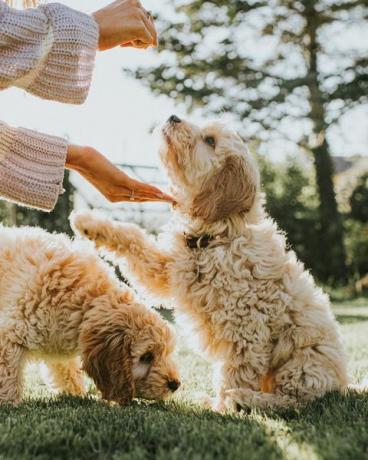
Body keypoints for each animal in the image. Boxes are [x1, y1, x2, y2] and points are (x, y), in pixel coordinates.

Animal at [0, 226, 180, 402]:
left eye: (167, 352)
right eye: (146, 356)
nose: (175, 384)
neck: (84, 297)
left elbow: (67, 369)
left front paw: (75, 393)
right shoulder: (11, 334)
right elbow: (8, 377)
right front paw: (9, 403)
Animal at [71, 115, 348, 410]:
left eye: (210, 140)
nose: (173, 117)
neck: (215, 238)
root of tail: (342, 385)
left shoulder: (246, 330)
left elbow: (236, 371)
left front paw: (224, 408)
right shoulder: (167, 271)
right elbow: (135, 237)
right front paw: (88, 223)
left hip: (302, 364)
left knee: (292, 401)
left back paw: (241, 398)